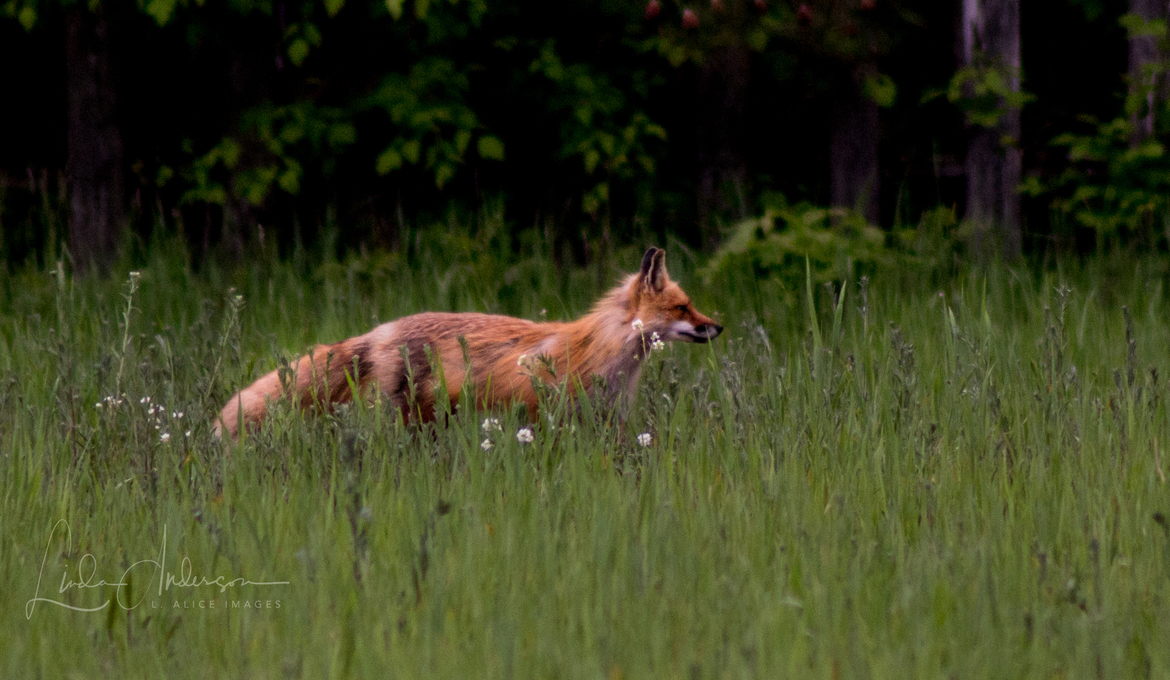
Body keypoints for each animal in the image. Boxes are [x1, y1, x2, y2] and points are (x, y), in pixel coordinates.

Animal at [214, 247, 722, 439]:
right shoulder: (544, 412)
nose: (717, 326)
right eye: (684, 308)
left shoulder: (606, 421)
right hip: (405, 418)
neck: (601, 353)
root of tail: (378, 330)